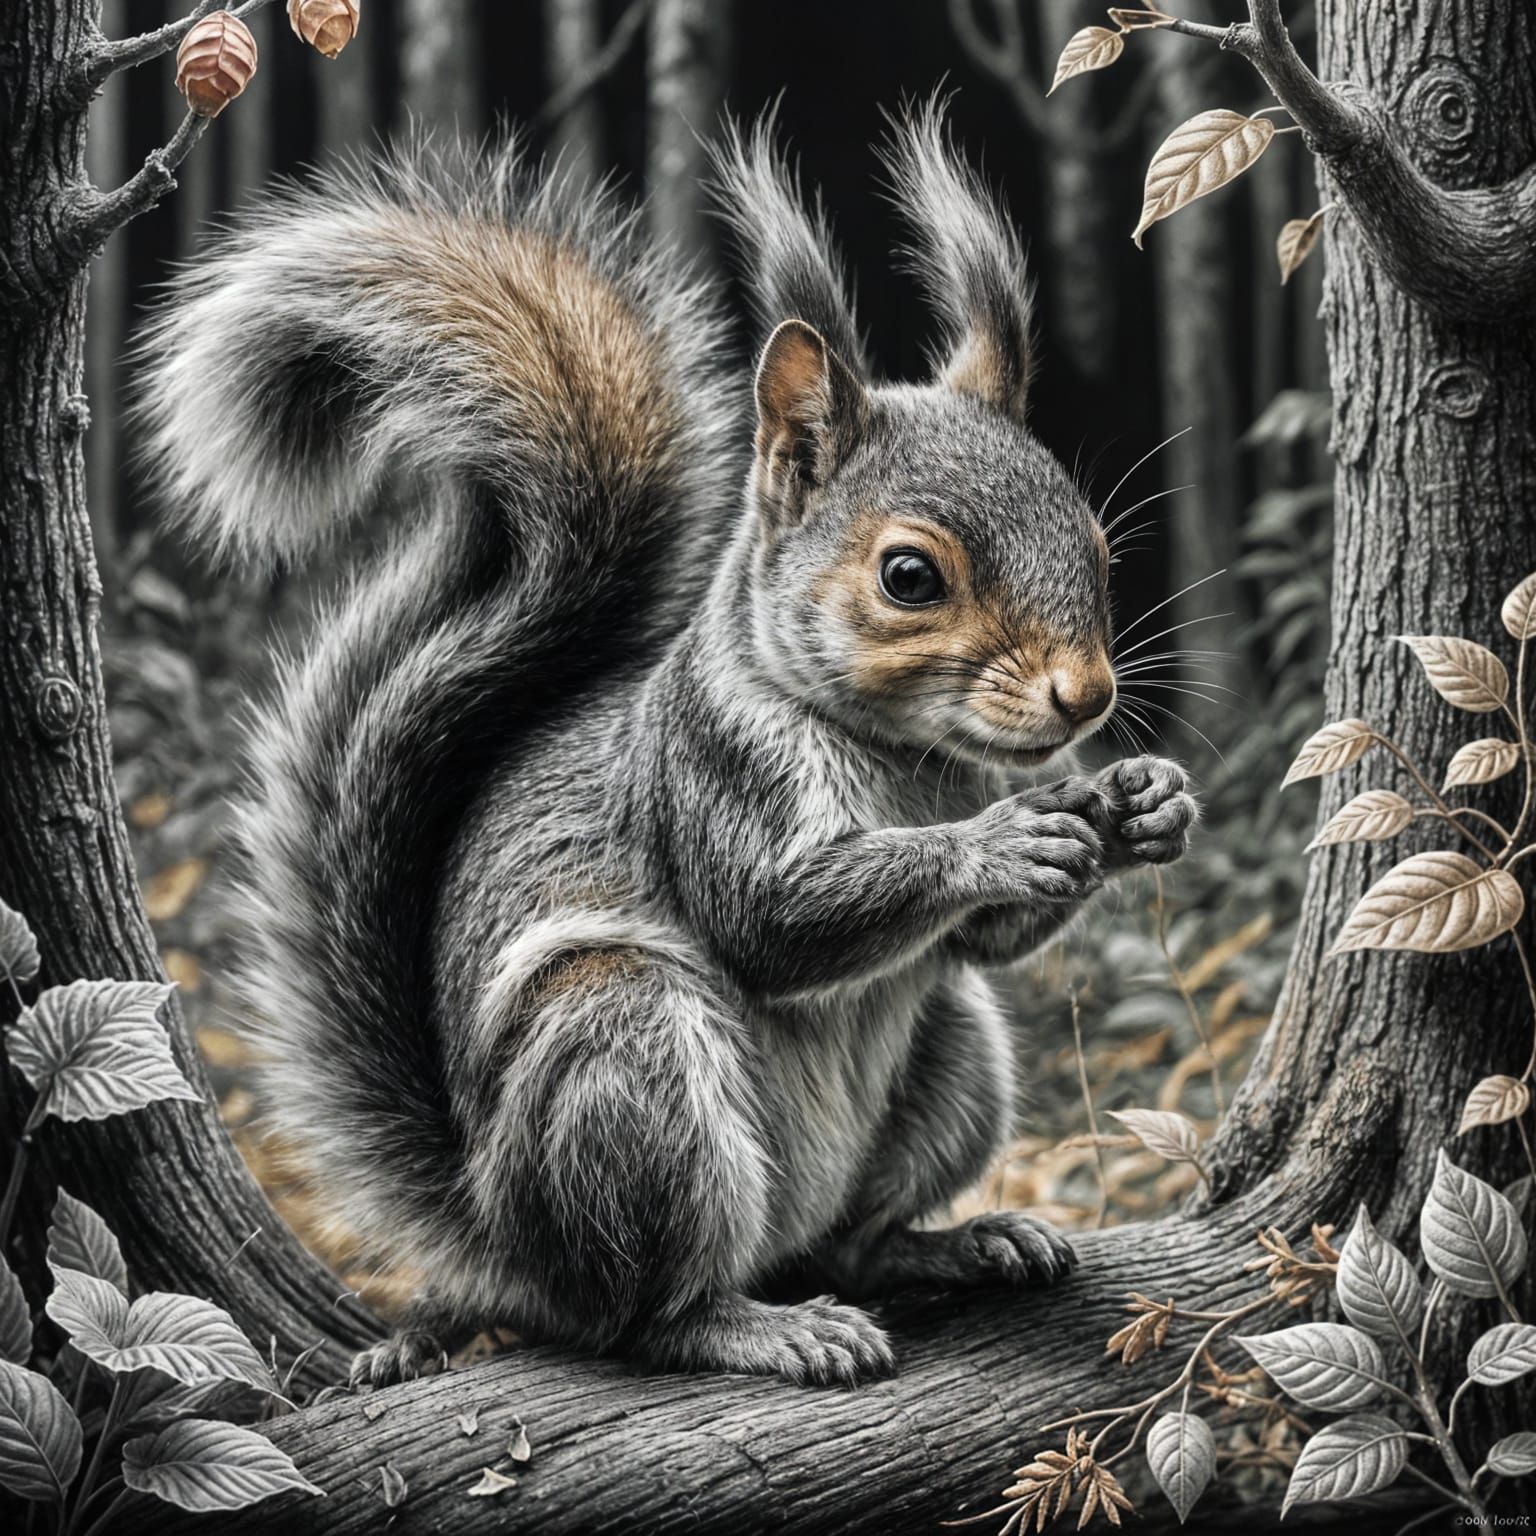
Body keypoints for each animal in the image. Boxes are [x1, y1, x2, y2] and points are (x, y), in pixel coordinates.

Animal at [138, 104, 1197, 1389]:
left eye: (1093, 541)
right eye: (910, 576)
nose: (1086, 698)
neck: (908, 760)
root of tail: (505, 1236)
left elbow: (980, 943)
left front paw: (1141, 803)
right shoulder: (711, 769)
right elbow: (772, 919)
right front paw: (999, 841)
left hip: (954, 1057)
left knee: (852, 1241)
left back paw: (957, 1242)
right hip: (626, 1063)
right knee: (645, 1315)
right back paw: (761, 1324)